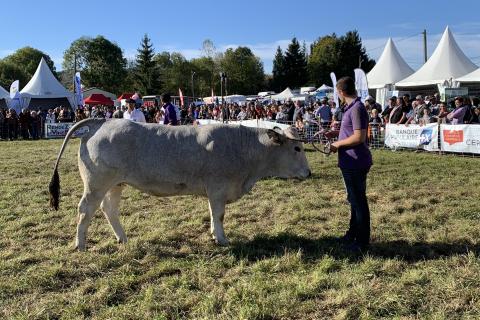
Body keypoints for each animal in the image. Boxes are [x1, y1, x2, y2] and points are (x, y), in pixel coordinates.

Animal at [48, 119, 312, 251]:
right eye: (297, 148)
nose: (309, 173)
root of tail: (102, 122)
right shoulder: (218, 188)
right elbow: (219, 215)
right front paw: (222, 239)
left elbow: (213, 215)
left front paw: (214, 235)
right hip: (96, 184)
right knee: (85, 211)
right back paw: (81, 244)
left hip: (116, 184)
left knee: (109, 210)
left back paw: (123, 239)